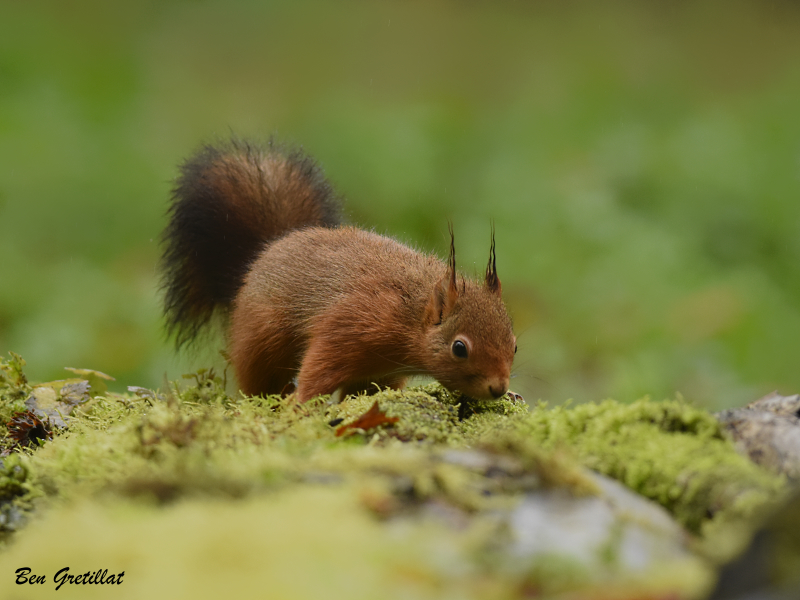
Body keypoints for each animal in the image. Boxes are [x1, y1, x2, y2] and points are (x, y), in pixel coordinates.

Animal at [161, 139, 520, 404]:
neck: (410, 310)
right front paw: (300, 405)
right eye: (459, 348)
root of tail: (268, 249)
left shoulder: (382, 371)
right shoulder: (350, 326)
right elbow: (318, 370)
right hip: (261, 337)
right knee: (257, 378)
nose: (499, 388)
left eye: (515, 345)